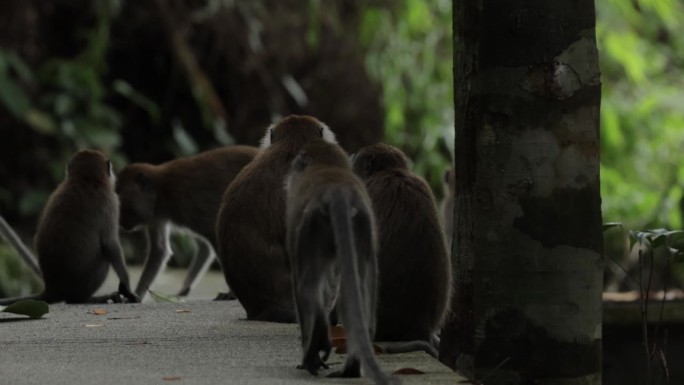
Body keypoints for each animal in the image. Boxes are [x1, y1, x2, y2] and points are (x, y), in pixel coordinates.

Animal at [0, 149, 139, 304]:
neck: (85, 179)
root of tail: (52, 289)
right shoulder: (111, 201)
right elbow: (110, 244)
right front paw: (127, 289)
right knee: (104, 258)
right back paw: (86, 299)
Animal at [116, 146, 258, 298]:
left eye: (121, 205)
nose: (120, 222)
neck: (162, 190)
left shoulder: (187, 204)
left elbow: (214, 236)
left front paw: (232, 292)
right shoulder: (156, 216)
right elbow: (160, 250)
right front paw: (137, 295)